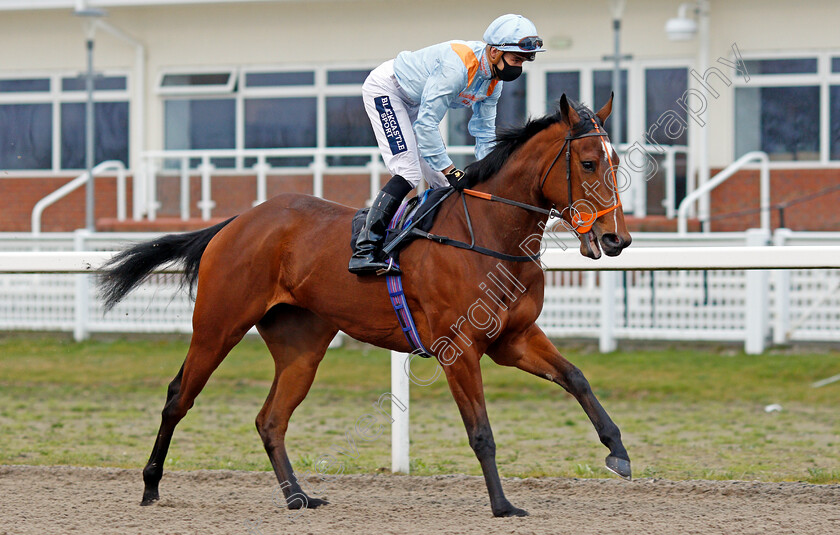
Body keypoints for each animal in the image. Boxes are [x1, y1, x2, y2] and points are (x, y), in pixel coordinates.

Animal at [100, 94, 632, 516]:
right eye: (588, 163)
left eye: (616, 162)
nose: (616, 238)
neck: (488, 235)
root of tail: (237, 221)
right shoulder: (459, 347)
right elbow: (481, 431)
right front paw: (502, 505)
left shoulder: (513, 339)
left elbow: (577, 378)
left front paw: (618, 451)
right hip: (218, 325)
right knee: (178, 396)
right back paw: (150, 485)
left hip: (302, 348)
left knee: (270, 419)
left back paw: (298, 496)